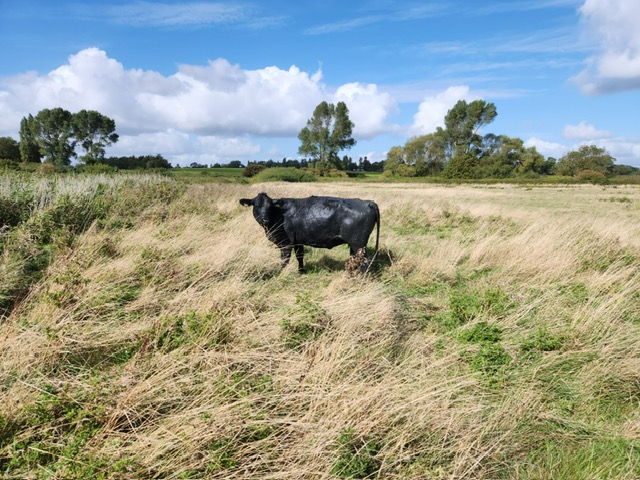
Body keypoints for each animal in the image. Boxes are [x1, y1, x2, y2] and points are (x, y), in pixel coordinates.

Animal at [239, 192, 380, 273]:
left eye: (270, 207)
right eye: (256, 206)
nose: (265, 219)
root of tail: (368, 202)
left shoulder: (285, 243)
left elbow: (284, 260)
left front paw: (280, 273)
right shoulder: (298, 241)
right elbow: (300, 256)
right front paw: (301, 271)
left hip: (358, 243)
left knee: (365, 261)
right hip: (354, 244)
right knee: (355, 258)